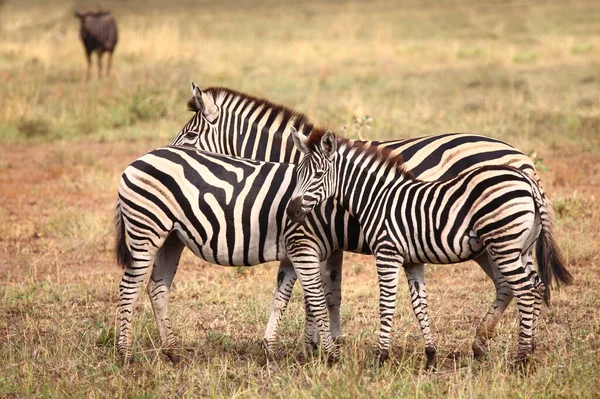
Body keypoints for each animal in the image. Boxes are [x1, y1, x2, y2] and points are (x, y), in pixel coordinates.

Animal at [284, 130, 572, 368]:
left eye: (318, 175)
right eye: (297, 175)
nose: (291, 210)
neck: (376, 197)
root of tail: (527, 180)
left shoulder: (387, 253)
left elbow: (386, 304)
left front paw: (380, 357)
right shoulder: (413, 260)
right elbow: (419, 305)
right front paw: (430, 356)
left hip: (503, 244)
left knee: (524, 290)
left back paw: (521, 359)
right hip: (521, 248)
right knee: (536, 286)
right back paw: (528, 348)